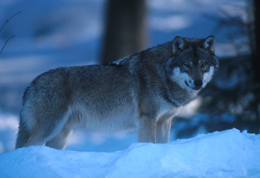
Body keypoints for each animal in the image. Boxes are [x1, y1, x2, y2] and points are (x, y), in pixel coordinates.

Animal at [15, 35, 219, 149]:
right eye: (187, 65)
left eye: (203, 65)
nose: (198, 82)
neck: (162, 75)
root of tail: (30, 85)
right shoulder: (147, 120)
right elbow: (150, 143)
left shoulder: (164, 121)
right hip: (49, 129)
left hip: (60, 136)